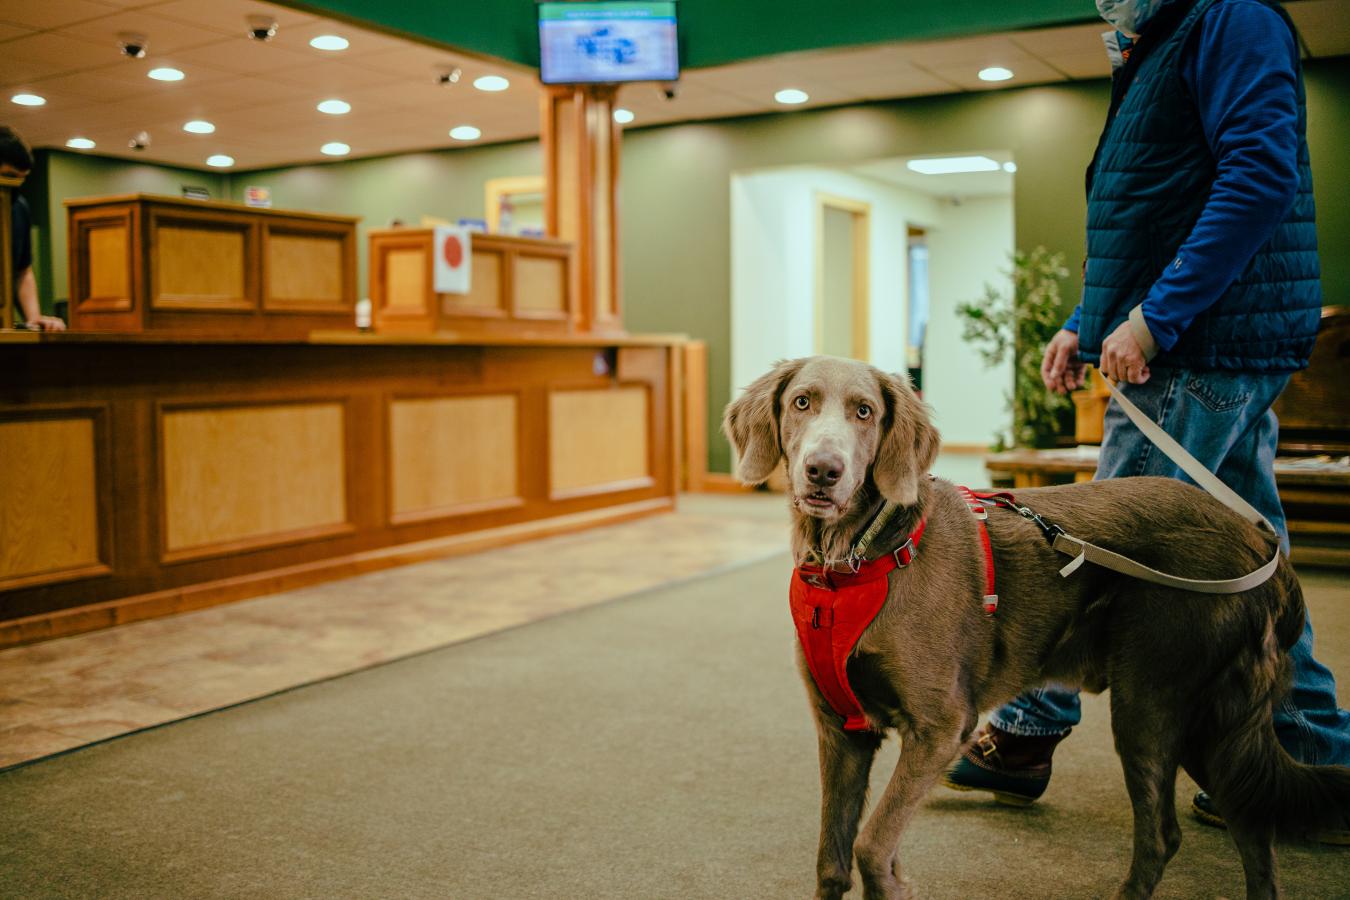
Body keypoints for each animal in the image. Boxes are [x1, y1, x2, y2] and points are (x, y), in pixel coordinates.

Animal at [729, 356, 1350, 900]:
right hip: (1206, 721)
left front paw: (895, 883)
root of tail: (1263, 547)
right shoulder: (842, 730)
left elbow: (871, 845)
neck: (851, 564)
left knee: (1164, 835)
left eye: (864, 412)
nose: (823, 471)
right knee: (1254, 828)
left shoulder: (940, 728)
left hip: (1153, 701)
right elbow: (832, 859)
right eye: (802, 402)